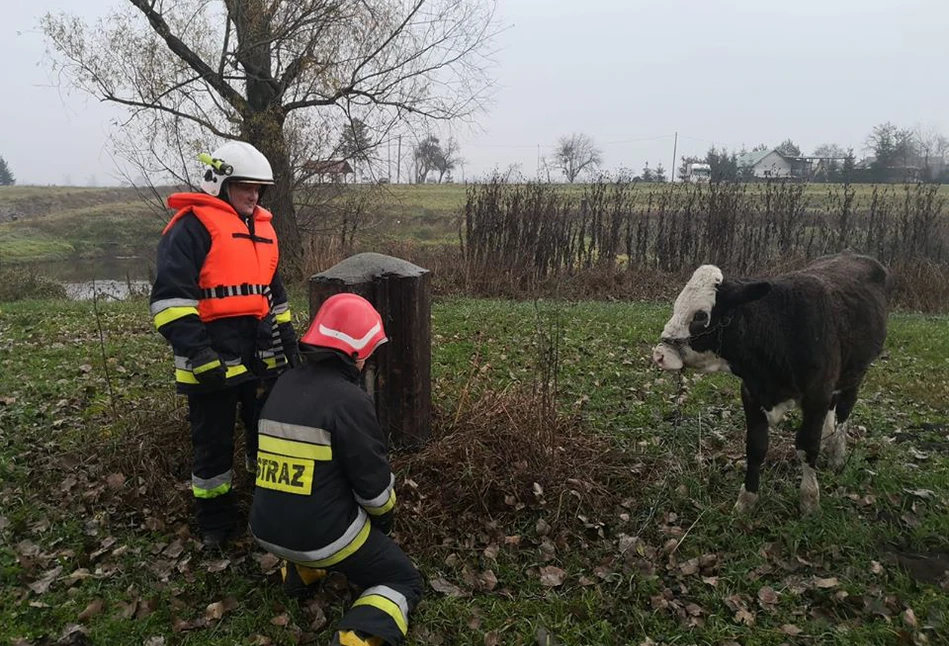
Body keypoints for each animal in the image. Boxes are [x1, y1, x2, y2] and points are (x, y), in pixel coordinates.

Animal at [652, 253, 888, 516]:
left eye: (701, 316)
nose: (660, 354)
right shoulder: (751, 394)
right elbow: (756, 447)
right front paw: (746, 500)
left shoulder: (816, 395)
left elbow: (807, 446)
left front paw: (809, 500)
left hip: (855, 373)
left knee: (845, 409)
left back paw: (837, 452)